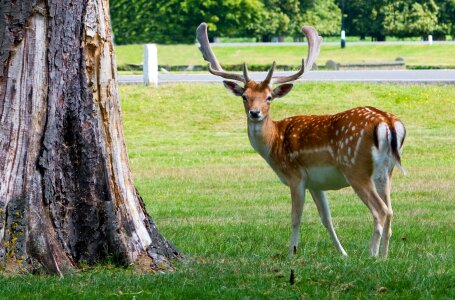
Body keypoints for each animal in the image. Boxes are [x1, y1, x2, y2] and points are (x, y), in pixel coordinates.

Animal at [196, 23, 406, 258]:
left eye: (269, 97)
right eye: (244, 96)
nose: (255, 113)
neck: (274, 143)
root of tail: (388, 122)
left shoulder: (295, 175)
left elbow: (295, 217)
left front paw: (291, 253)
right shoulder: (315, 183)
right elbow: (326, 218)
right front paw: (342, 253)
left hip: (355, 168)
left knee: (381, 211)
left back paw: (371, 255)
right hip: (386, 171)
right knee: (391, 211)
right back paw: (384, 256)